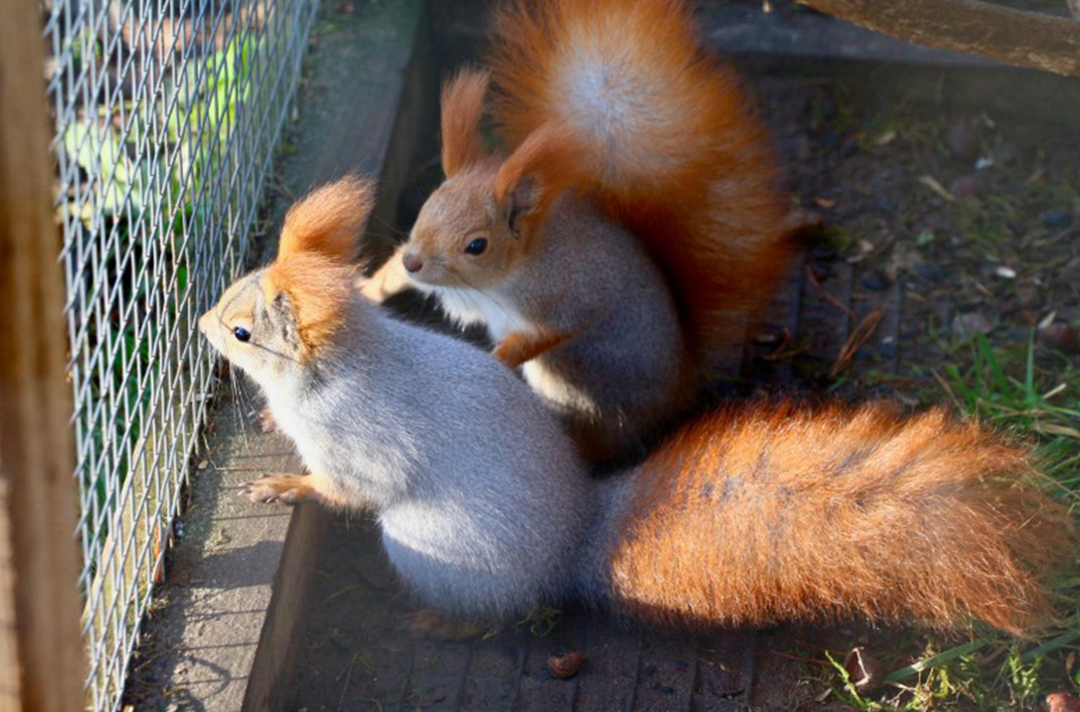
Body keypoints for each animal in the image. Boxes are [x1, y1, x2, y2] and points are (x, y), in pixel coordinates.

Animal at [200, 181, 1071, 639]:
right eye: (230, 294)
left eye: (244, 332)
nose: (203, 326)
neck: (345, 366)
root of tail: (577, 537)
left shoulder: (358, 439)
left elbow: (350, 487)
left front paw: (284, 487)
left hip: (432, 550)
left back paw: (436, 624)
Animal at [367, 0, 799, 464]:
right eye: (426, 207)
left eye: (476, 246)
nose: (415, 261)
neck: (512, 269)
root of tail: (680, 387)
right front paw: (370, 285)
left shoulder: (564, 296)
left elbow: (546, 334)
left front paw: (493, 363)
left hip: (580, 391)